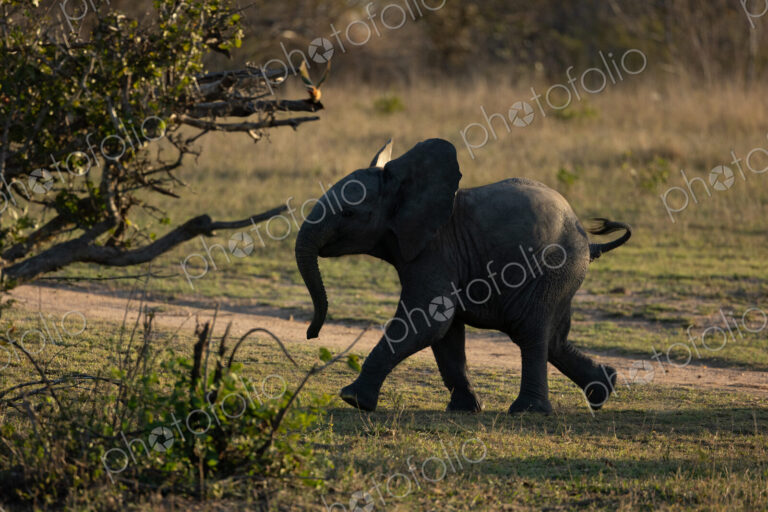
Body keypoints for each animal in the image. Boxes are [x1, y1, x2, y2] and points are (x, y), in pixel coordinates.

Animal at [295, 138, 631, 414]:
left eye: (348, 213)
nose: (312, 334)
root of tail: (587, 238)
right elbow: (446, 331)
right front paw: (465, 409)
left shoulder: (436, 249)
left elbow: (428, 320)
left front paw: (352, 399)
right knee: (554, 338)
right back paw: (604, 389)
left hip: (553, 268)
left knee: (530, 331)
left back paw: (529, 411)